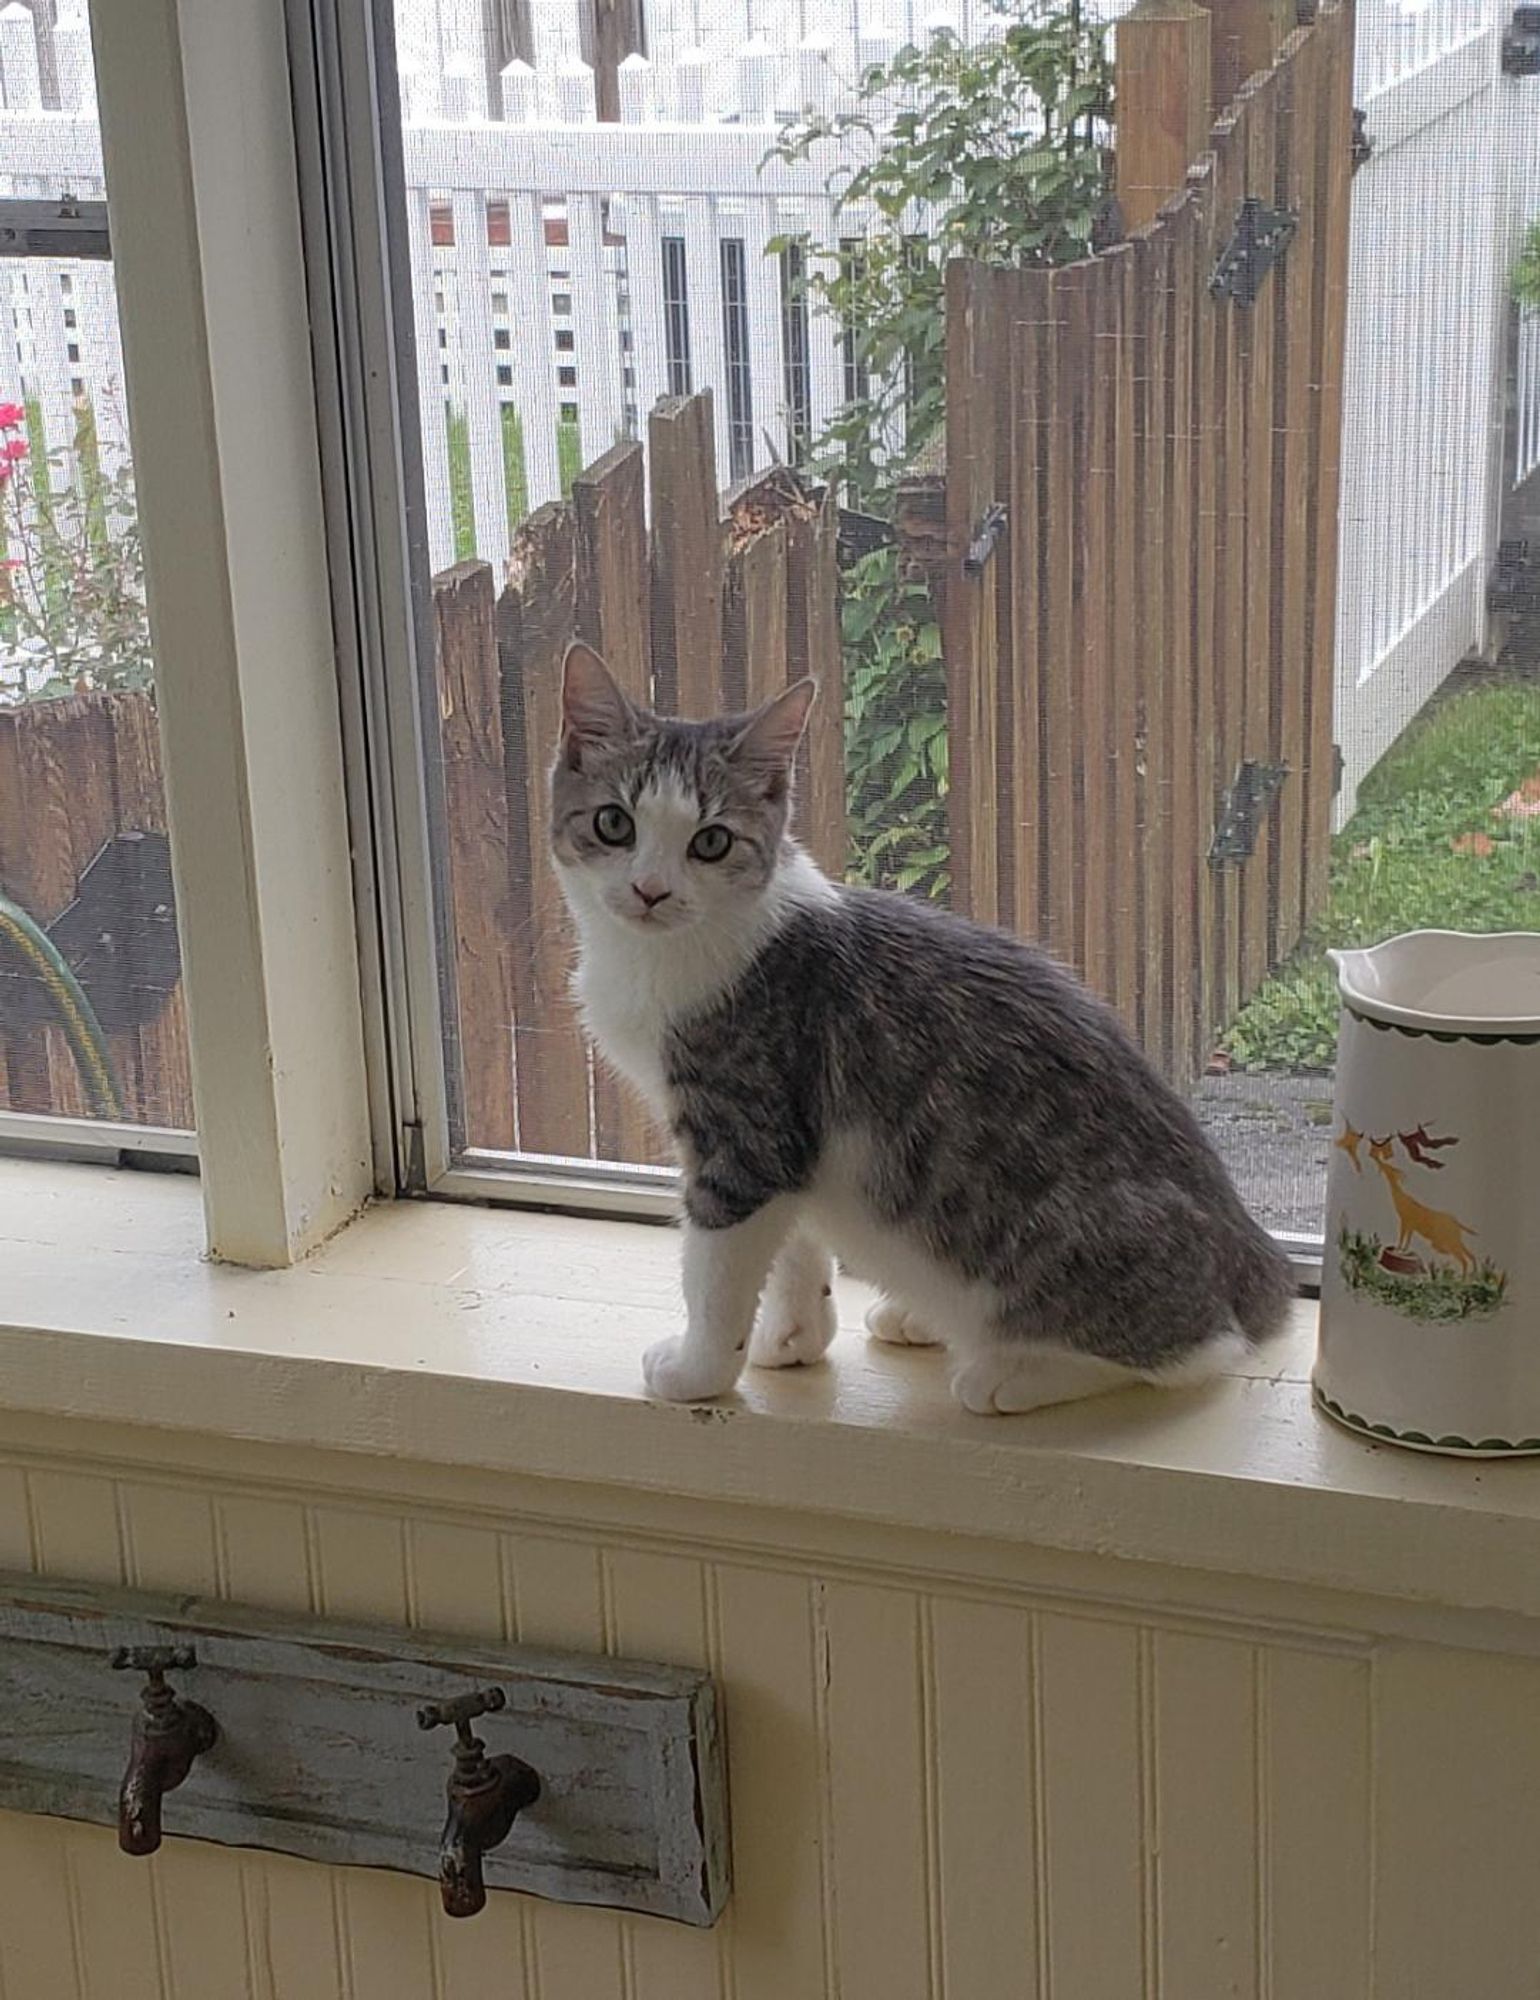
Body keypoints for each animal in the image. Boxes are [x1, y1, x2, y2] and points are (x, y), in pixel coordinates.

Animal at [544, 648, 1288, 1416]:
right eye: (614, 823)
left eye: (711, 841)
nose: (650, 890)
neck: (670, 953)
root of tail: (1254, 1259)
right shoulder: (791, 1145)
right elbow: (794, 1243)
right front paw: (793, 1336)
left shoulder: (746, 1129)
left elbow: (716, 1269)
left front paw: (699, 1369)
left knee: (1201, 1351)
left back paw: (1012, 1374)